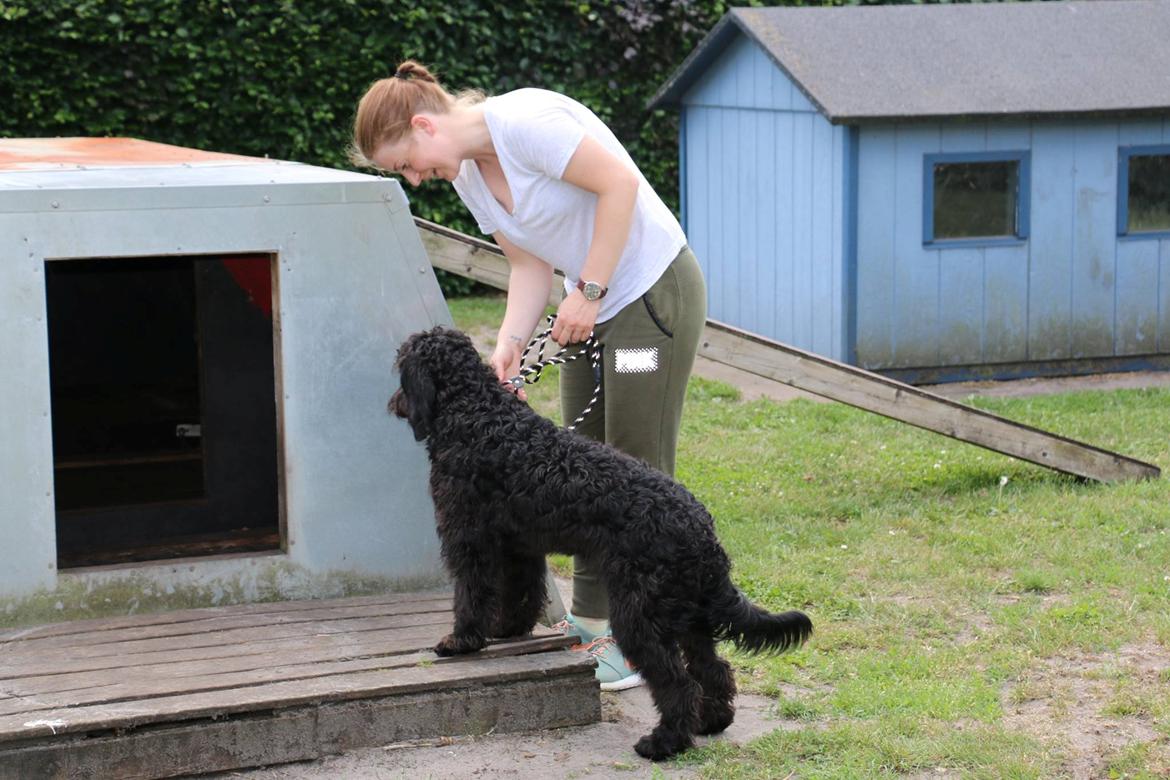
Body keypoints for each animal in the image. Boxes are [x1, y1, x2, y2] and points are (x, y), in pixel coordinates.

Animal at [388, 327, 809, 757]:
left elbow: (470, 596)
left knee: (679, 684)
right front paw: (508, 630)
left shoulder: (469, 540)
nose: (394, 403)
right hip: (688, 618)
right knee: (714, 670)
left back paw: (662, 743)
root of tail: (704, 534)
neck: (477, 414)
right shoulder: (520, 547)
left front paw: (460, 641)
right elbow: (521, 594)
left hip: (640, 617)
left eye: (401, 365)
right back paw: (711, 722)